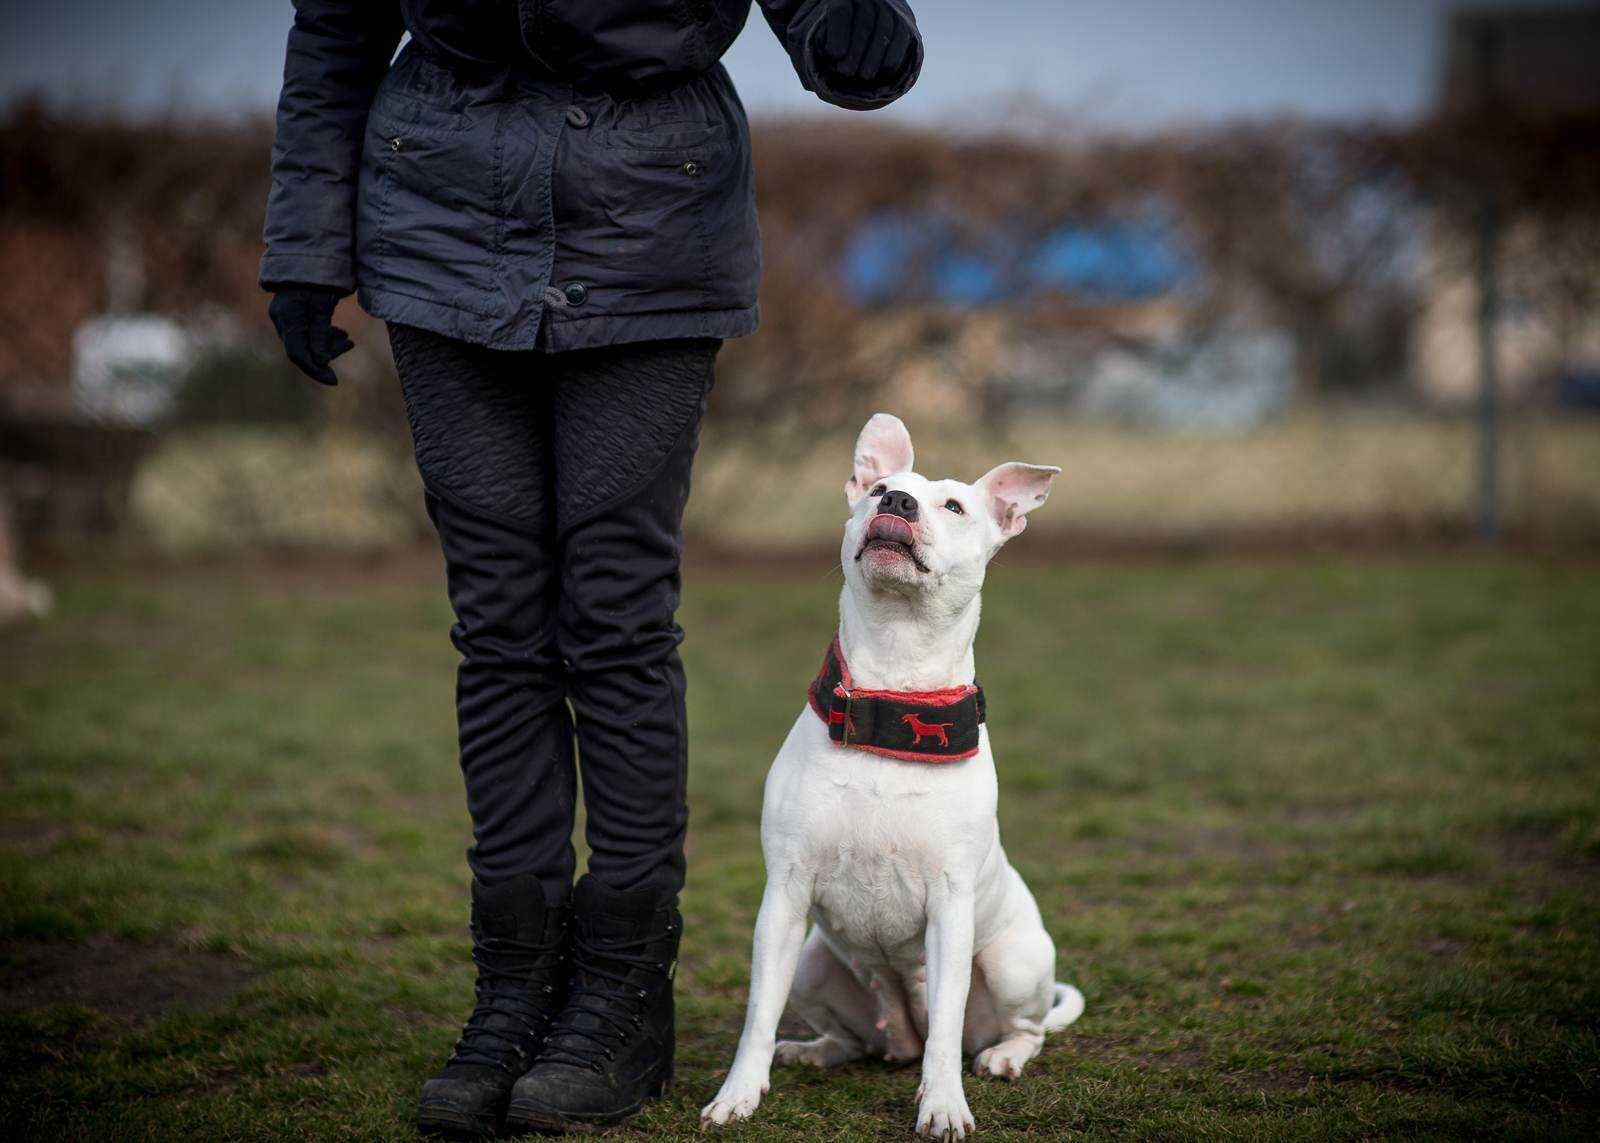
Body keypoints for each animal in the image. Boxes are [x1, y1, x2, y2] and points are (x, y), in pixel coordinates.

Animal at [704, 413, 1088, 1133]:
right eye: (880, 487)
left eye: (955, 505)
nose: (899, 503)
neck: (892, 681)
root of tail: (899, 1035)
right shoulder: (783, 897)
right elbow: (758, 1014)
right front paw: (737, 1094)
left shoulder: (950, 906)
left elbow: (945, 1033)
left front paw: (943, 1107)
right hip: (811, 960)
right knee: (859, 1038)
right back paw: (817, 1049)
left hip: (1013, 961)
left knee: (1012, 1030)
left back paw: (1003, 1057)